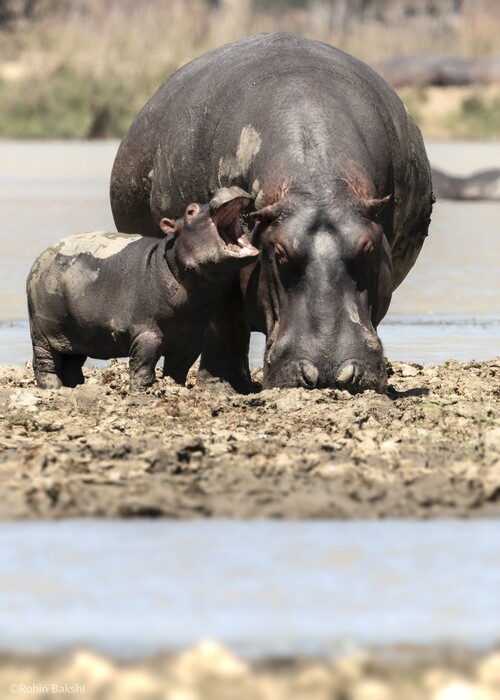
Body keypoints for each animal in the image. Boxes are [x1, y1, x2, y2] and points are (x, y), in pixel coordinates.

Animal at [26, 186, 258, 392]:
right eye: (190, 211)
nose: (227, 187)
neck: (170, 262)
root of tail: (39, 259)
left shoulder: (191, 338)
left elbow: (178, 369)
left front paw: (175, 387)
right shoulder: (146, 331)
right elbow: (143, 365)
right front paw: (141, 391)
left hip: (76, 333)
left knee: (71, 363)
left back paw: (75, 387)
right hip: (43, 331)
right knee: (45, 363)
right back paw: (52, 389)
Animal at [110, 32, 434, 394]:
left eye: (367, 248)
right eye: (279, 252)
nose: (329, 371)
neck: (316, 189)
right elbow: (225, 319)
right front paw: (221, 386)